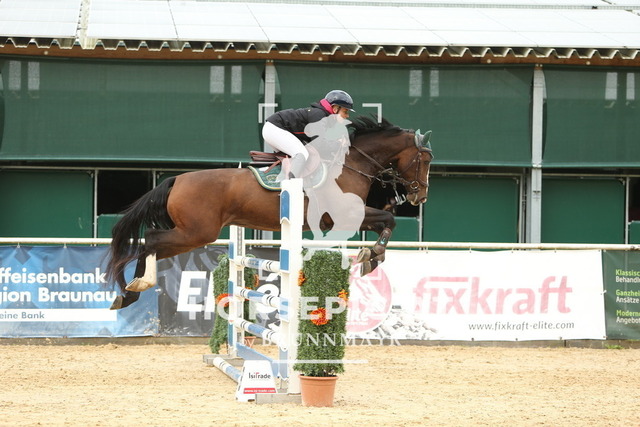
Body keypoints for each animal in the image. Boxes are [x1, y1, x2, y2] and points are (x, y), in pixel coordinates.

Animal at [106, 116, 434, 310]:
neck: (351, 165)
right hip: (196, 233)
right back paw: (137, 286)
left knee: (151, 244)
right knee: (151, 238)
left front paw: (372, 257)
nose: (420, 195)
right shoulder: (345, 215)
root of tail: (177, 180)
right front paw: (371, 256)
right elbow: (388, 220)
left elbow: (385, 222)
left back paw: (128, 293)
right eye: (426, 159)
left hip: (191, 234)